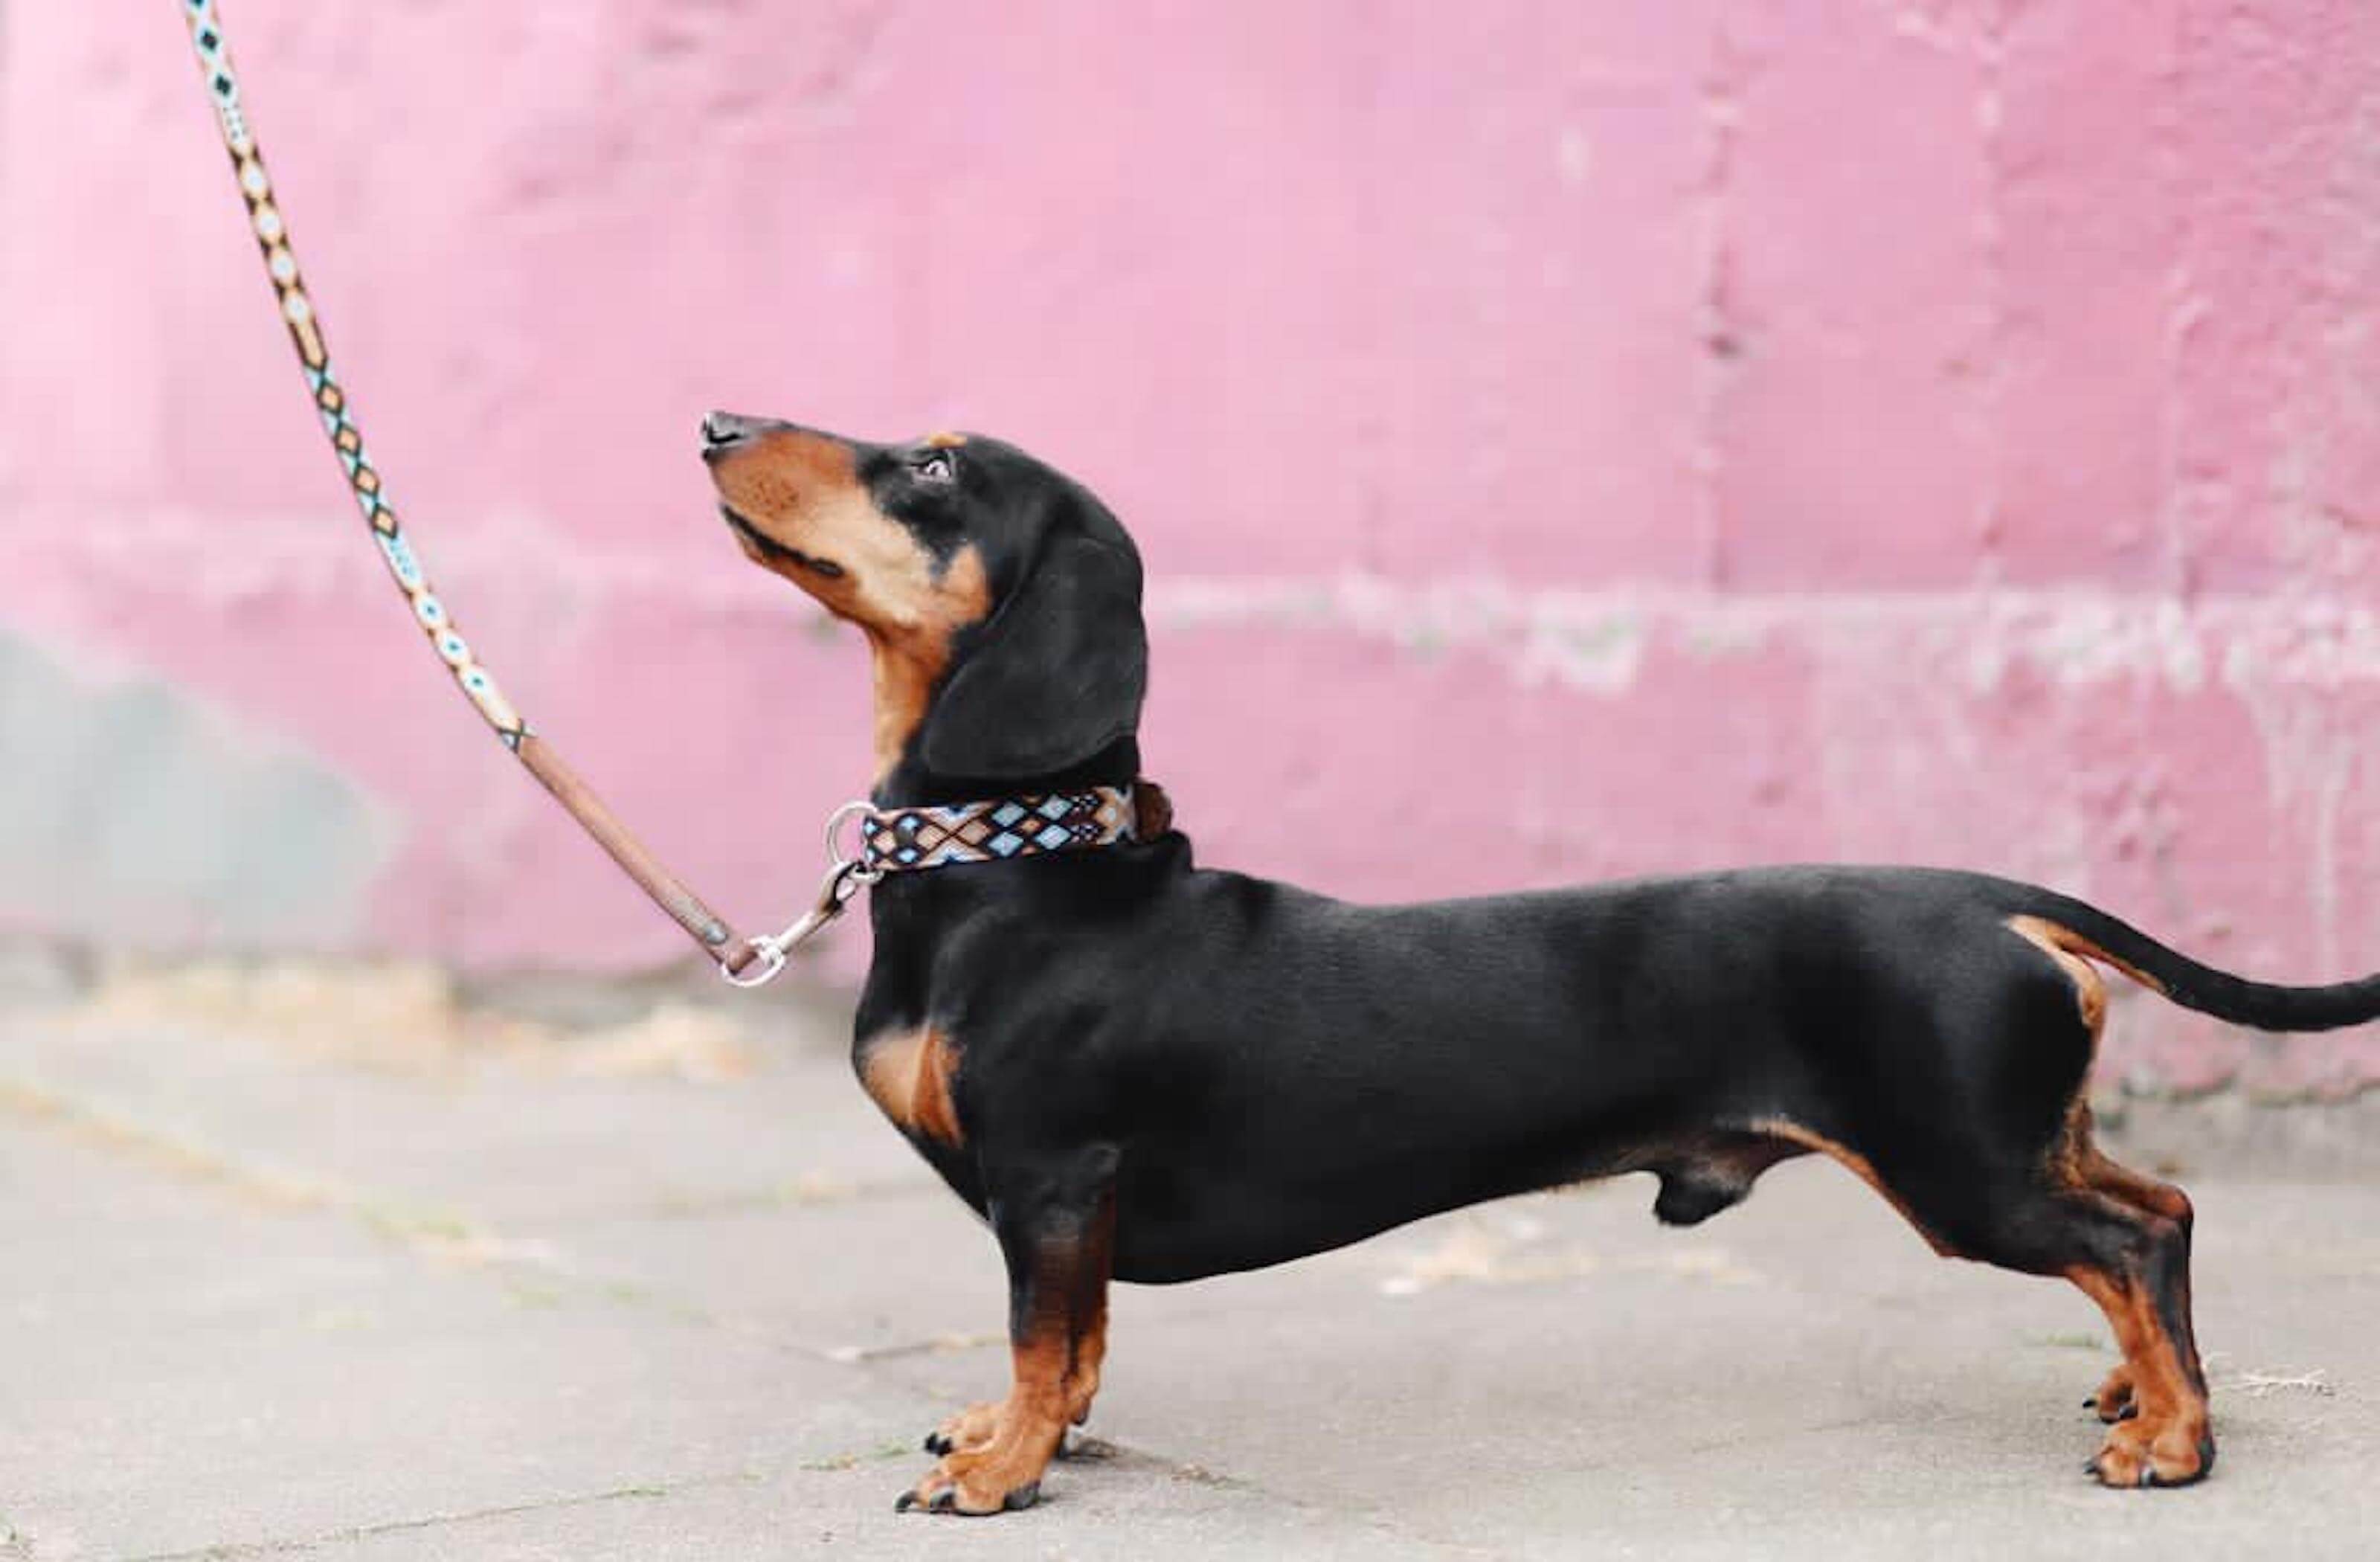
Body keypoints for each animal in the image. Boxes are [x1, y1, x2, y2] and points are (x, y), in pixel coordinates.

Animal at [695, 409, 2370, 1523]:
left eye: (931, 470)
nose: (714, 421)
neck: (1020, 865)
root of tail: (1997, 899)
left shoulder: (1051, 1180)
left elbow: (1050, 1337)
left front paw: (1004, 1467)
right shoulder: (1069, 1208)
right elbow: (1078, 1340)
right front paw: (1018, 1432)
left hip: (1960, 1165)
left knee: (2132, 1241)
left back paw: (2172, 1441)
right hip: (2016, 1134)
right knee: (2160, 1211)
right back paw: (2141, 1389)